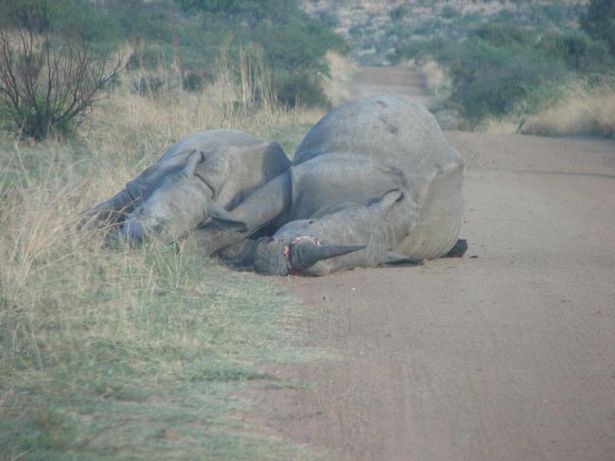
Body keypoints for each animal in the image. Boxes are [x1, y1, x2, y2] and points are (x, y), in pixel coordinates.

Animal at [83, 127, 292, 243]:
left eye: (173, 236)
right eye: (140, 210)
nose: (134, 242)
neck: (203, 183)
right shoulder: (138, 187)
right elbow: (106, 207)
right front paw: (83, 227)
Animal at [200, 93, 464, 274]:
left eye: (336, 264)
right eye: (311, 222)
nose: (291, 259)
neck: (347, 202)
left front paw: (238, 251)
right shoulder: (296, 180)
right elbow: (244, 218)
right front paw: (195, 248)